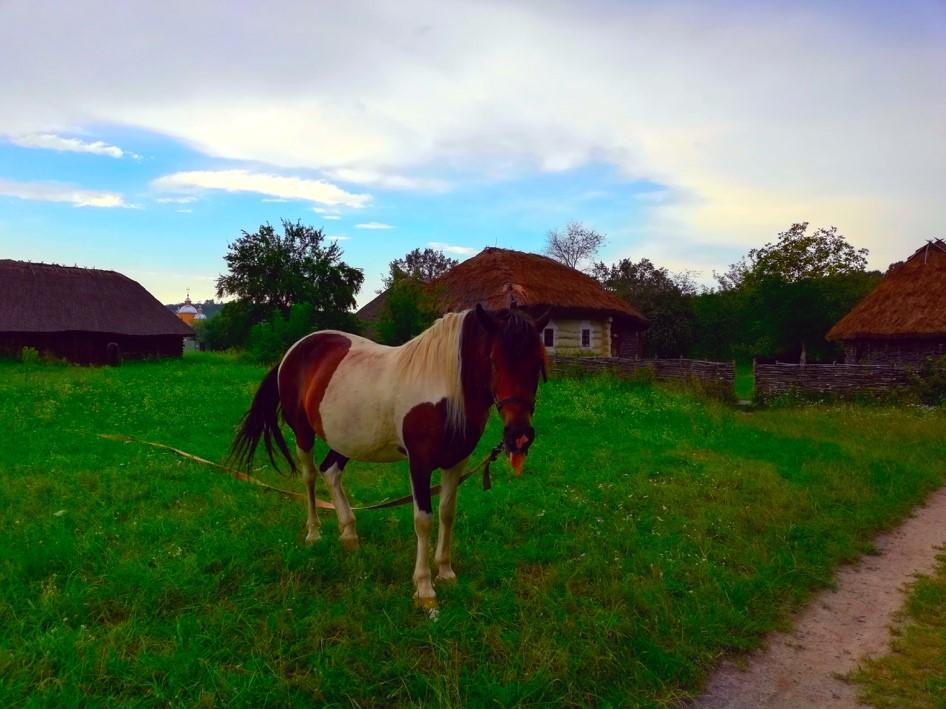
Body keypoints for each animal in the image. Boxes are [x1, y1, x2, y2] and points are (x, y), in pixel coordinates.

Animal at [228, 304, 549, 607]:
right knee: (309, 477)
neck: (443, 388)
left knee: (330, 471)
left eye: (537, 363)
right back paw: (314, 533)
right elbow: (423, 520)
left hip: (347, 440)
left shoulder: (456, 462)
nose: (520, 435)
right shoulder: (419, 463)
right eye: (493, 360)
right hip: (303, 434)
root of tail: (293, 351)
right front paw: (424, 589)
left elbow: (447, 513)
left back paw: (349, 534)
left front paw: (446, 572)